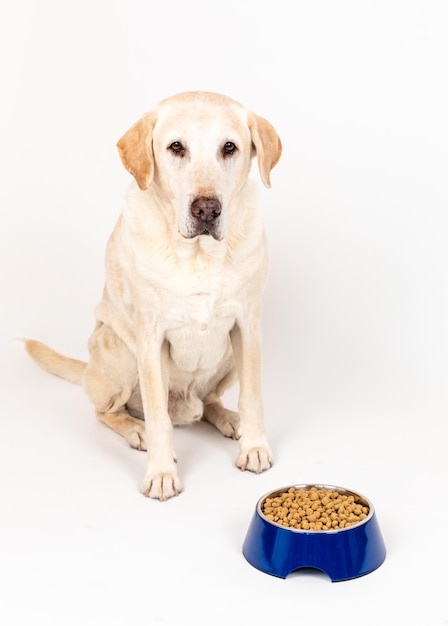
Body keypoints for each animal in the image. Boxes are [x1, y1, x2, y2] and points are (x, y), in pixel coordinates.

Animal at [25, 89, 280, 498]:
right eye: (176, 147)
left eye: (229, 147)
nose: (206, 209)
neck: (198, 256)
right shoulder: (151, 337)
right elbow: (158, 414)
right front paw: (161, 472)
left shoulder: (247, 324)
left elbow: (253, 396)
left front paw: (254, 446)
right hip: (119, 353)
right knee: (106, 411)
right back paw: (136, 429)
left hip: (228, 352)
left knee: (209, 402)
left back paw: (228, 418)